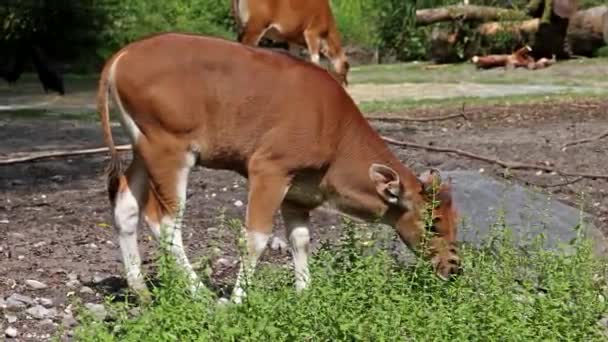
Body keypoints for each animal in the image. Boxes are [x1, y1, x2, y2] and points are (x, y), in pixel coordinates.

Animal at [97, 32, 458, 304]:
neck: (334, 128)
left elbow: (299, 239)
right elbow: (256, 238)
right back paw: (202, 295)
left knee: (125, 206)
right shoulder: (268, 170)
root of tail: (121, 57)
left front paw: (305, 292)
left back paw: (142, 292)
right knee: (165, 221)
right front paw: (237, 301)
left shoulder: (297, 192)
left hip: (141, 150)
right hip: (169, 151)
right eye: (433, 224)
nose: (455, 268)